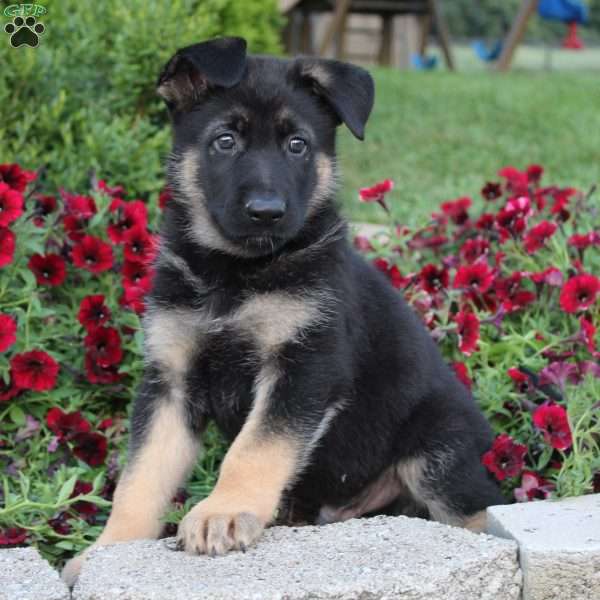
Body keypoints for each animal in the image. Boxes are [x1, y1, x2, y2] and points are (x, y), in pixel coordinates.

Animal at [63, 36, 504, 580]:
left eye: (298, 145)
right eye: (225, 141)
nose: (267, 212)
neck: (235, 273)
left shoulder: (304, 367)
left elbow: (253, 449)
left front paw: (222, 511)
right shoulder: (171, 382)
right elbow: (140, 477)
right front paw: (104, 552)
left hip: (438, 453)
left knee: (477, 512)